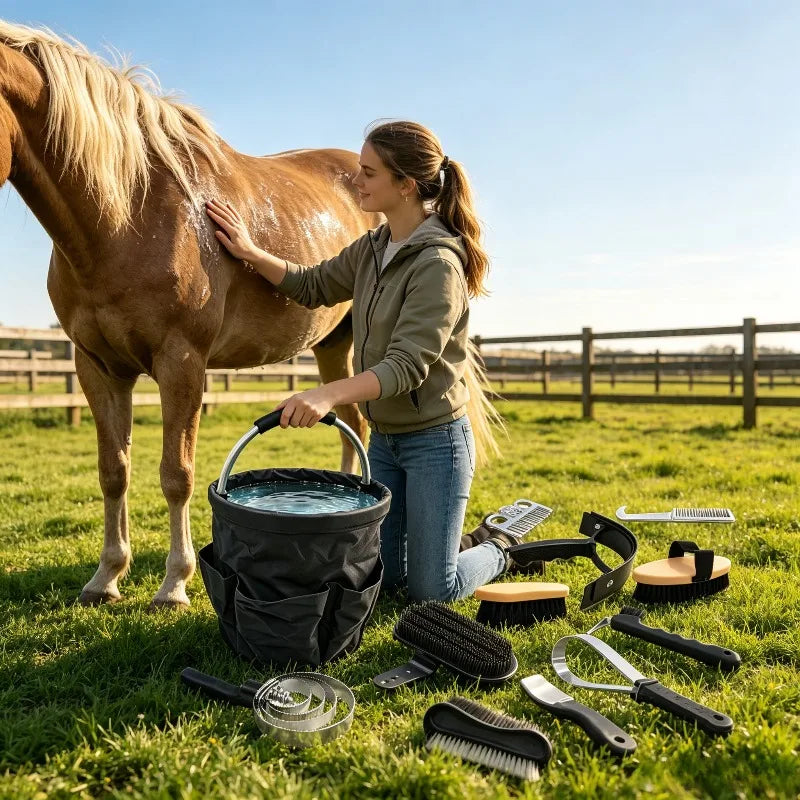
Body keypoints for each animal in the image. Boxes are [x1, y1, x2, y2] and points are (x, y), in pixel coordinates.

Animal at [0, 20, 380, 608]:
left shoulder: (181, 363)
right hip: (331, 344)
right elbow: (114, 471)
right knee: (351, 423)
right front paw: (107, 575)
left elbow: (175, 474)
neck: (125, 213)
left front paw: (175, 582)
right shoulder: (97, 368)